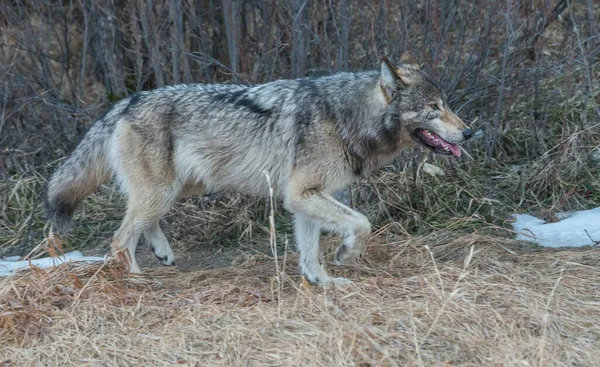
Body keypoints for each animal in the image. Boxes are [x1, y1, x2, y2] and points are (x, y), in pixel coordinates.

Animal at [44, 52, 472, 284]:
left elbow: (309, 251)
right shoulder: (302, 194)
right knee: (119, 240)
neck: (346, 117)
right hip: (162, 192)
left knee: (141, 225)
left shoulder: (304, 199)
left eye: (447, 104)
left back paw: (162, 253)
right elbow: (362, 224)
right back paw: (135, 279)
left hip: (180, 189)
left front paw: (323, 282)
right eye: (434, 108)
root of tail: (126, 101)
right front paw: (346, 255)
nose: (469, 132)